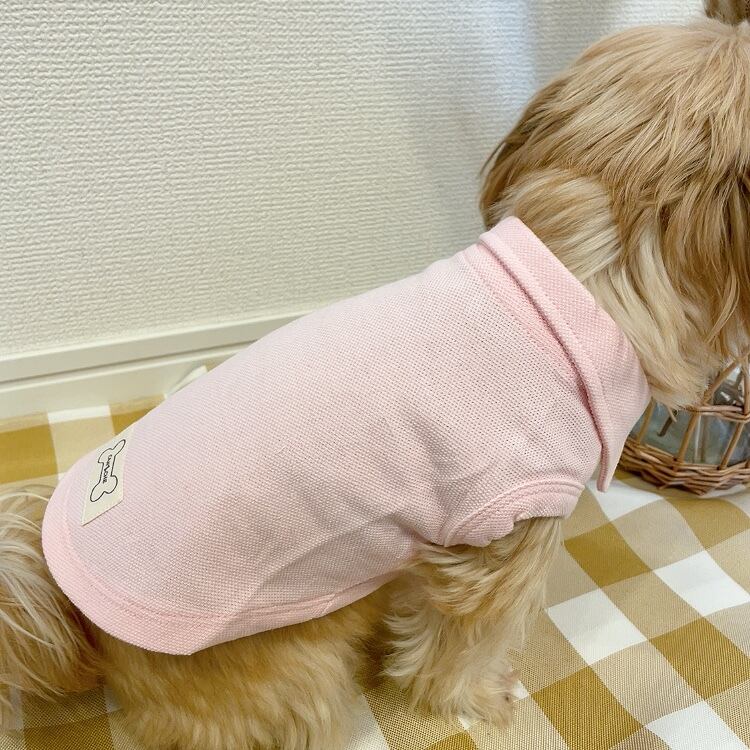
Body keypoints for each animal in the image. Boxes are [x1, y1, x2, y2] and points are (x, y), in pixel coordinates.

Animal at [2, 2, 750, 748]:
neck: (572, 277)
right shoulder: (503, 541)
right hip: (298, 662)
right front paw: (478, 697)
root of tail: (80, 619)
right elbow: (463, 648)